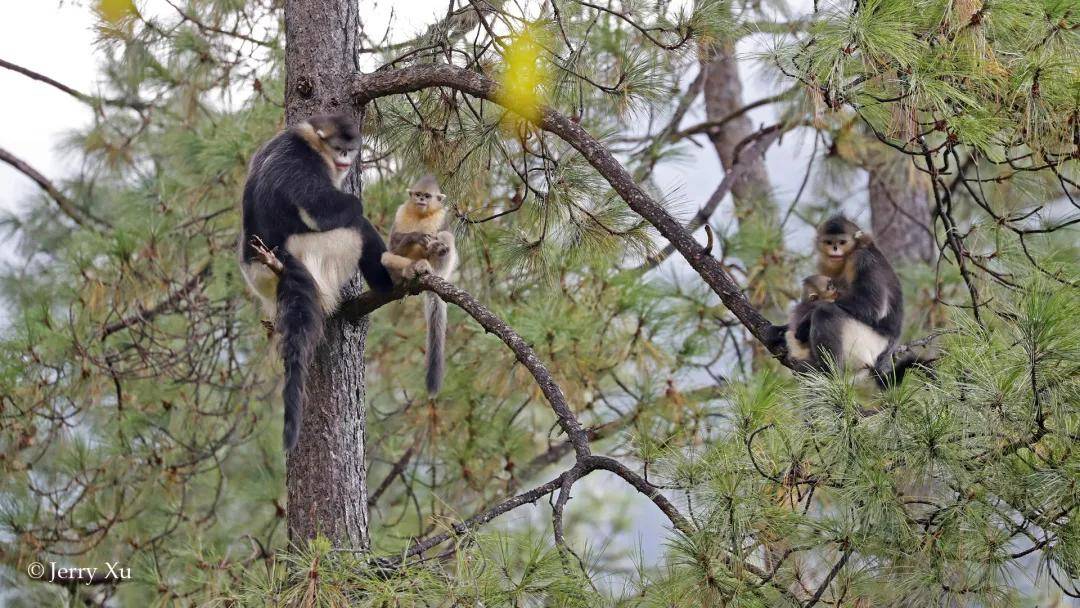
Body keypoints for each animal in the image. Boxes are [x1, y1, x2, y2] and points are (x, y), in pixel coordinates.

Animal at [238, 114, 395, 449]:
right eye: (339, 148)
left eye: (350, 149)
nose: (346, 159)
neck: (310, 140)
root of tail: (269, 260)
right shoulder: (300, 160)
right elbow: (321, 206)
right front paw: (356, 204)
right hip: (319, 252)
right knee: (356, 227)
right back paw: (388, 282)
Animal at [382, 176, 457, 395]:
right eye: (418, 194)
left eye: (427, 196)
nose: (421, 200)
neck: (421, 214)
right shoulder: (399, 213)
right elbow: (393, 245)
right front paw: (414, 236)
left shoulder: (442, 216)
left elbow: (444, 236)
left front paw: (434, 246)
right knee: (386, 256)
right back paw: (408, 272)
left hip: (441, 271)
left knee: (446, 238)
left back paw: (426, 267)